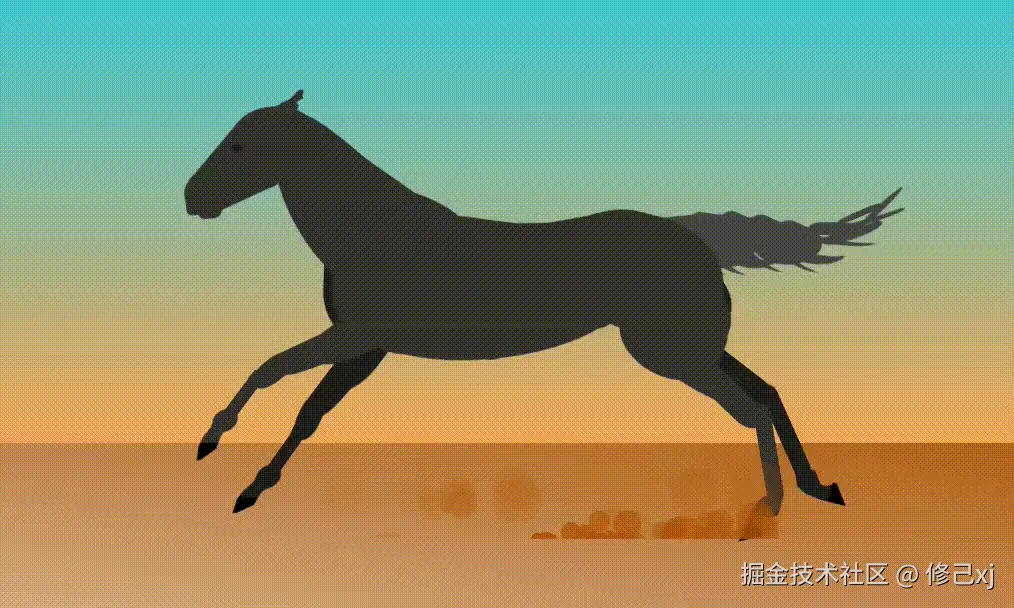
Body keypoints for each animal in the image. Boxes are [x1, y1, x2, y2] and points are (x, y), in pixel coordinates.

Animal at [186, 90, 900, 518]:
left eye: (241, 144)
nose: (193, 197)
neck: (371, 232)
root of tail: (696, 238)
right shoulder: (365, 349)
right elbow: (302, 406)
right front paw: (239, 476)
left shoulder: (358, 337)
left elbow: (273, 374)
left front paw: (218, 451)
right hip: (693, 348)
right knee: (769, 392)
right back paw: (820, 488)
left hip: (672, 355)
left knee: (750, 405)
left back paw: (768, 512)